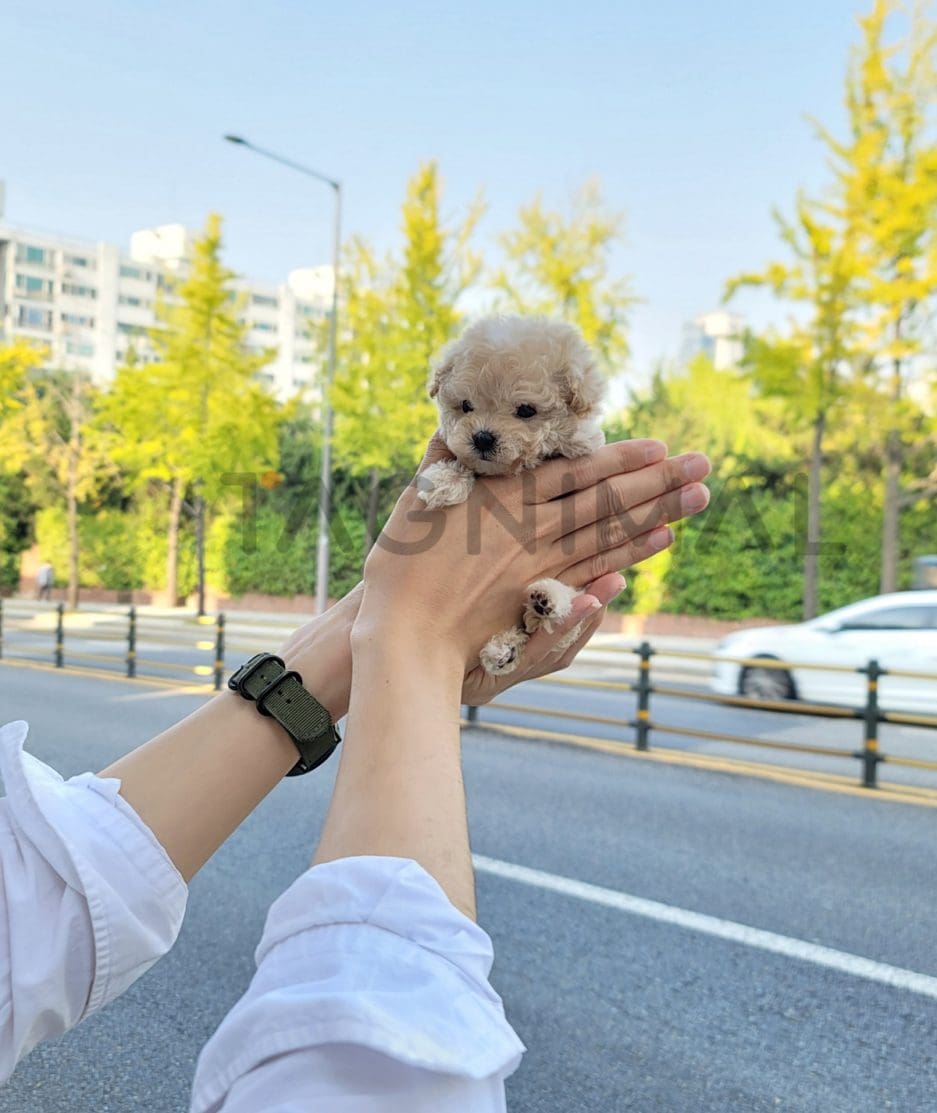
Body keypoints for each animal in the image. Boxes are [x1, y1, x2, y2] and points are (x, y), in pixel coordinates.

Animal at [418, 318, 605, 672]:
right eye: (466, 406)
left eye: (526, 410)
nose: (482, 437)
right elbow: (461, 465)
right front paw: (444, 481)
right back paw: (504, 650)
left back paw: (545, 603)